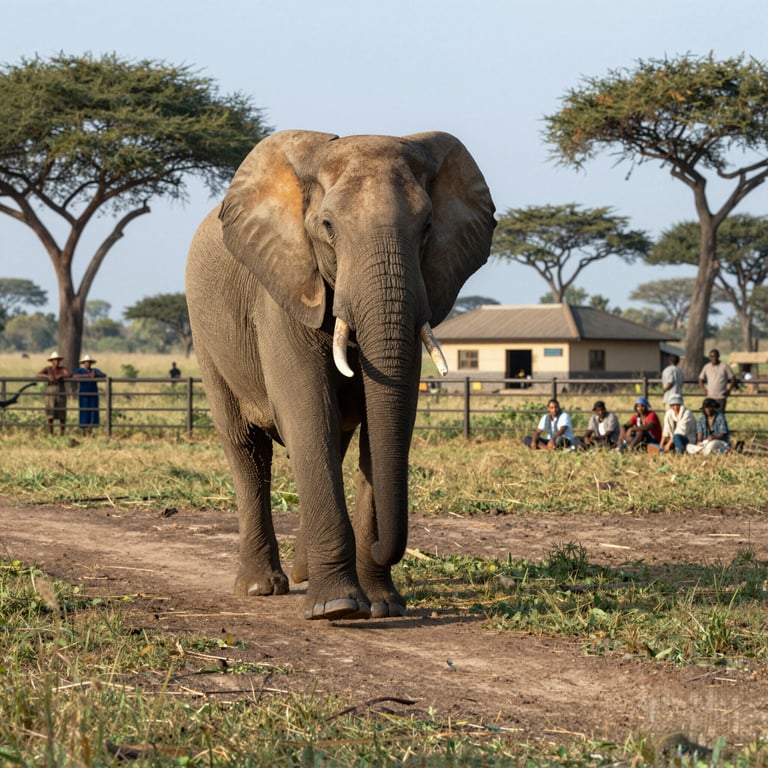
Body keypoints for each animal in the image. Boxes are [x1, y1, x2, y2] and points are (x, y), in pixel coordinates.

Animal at [186, 129, 495, 621]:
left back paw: (302, 574)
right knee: (247, 447)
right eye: (328, 226)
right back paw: (261, 587)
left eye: (428, 226)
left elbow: (387, 422)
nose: (381, 543)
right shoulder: (284, 292)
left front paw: (385, 606)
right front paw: (339, 608)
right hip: (206, 335)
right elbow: (308, 412)